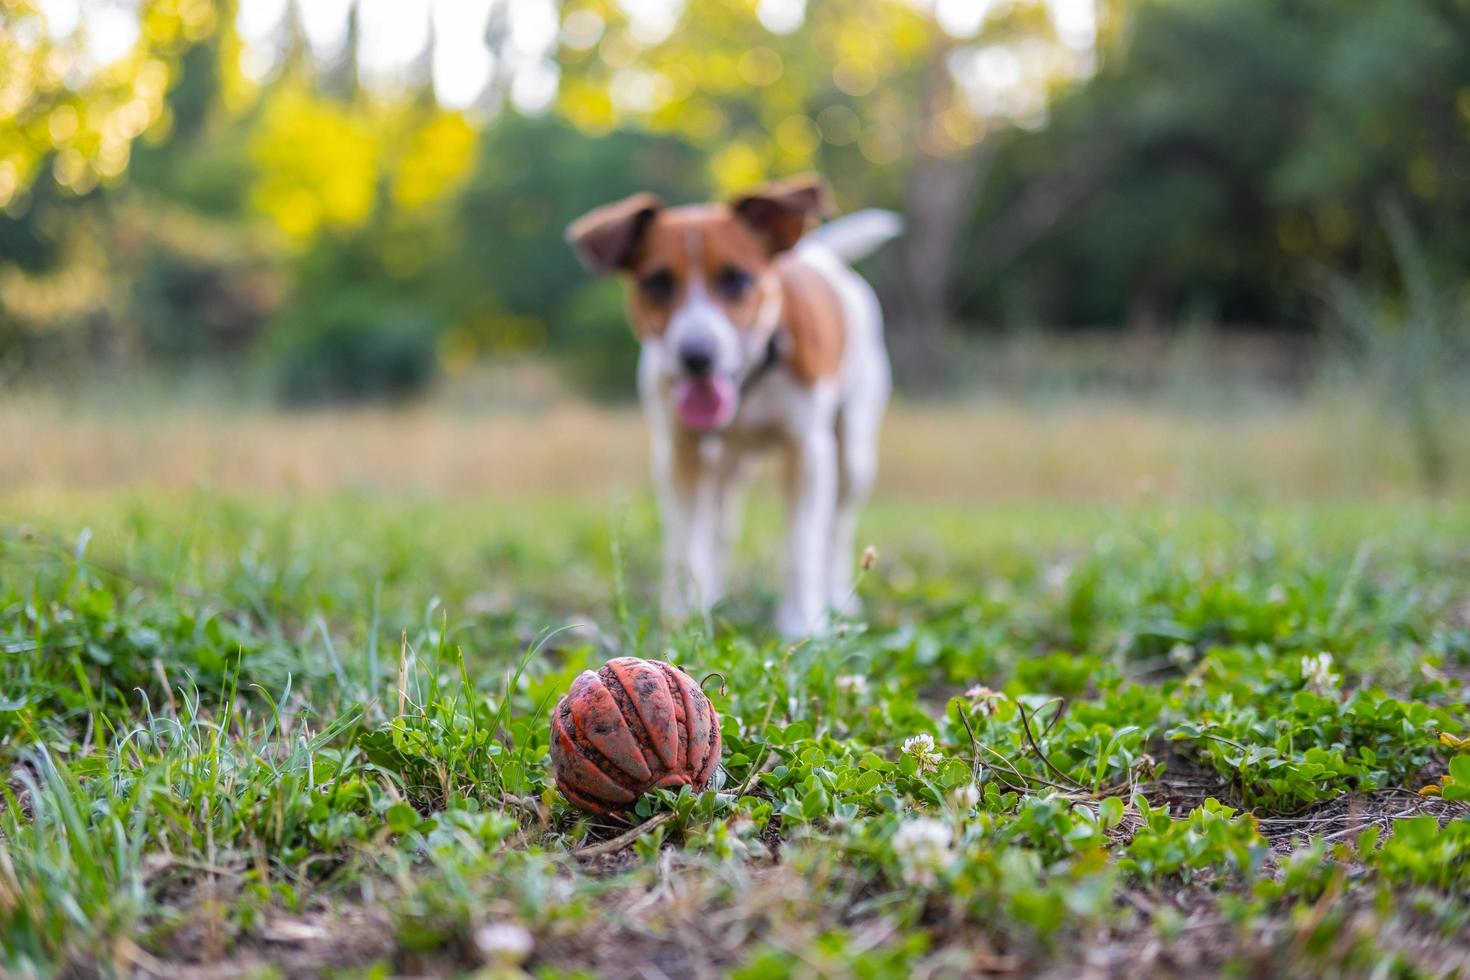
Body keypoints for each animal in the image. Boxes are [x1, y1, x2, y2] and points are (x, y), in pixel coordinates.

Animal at [567, 175, 899, 637]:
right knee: (719, 528)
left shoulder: (807, 451)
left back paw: (838, 600)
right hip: (727, 465)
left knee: (837, 528)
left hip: (853, 450)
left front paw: (801, 622)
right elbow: (687, 543)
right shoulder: (680, 453)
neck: (747, 380)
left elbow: (802, 544)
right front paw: (685, 613)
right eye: (658, 283)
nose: (697, 355)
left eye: (736, 279)